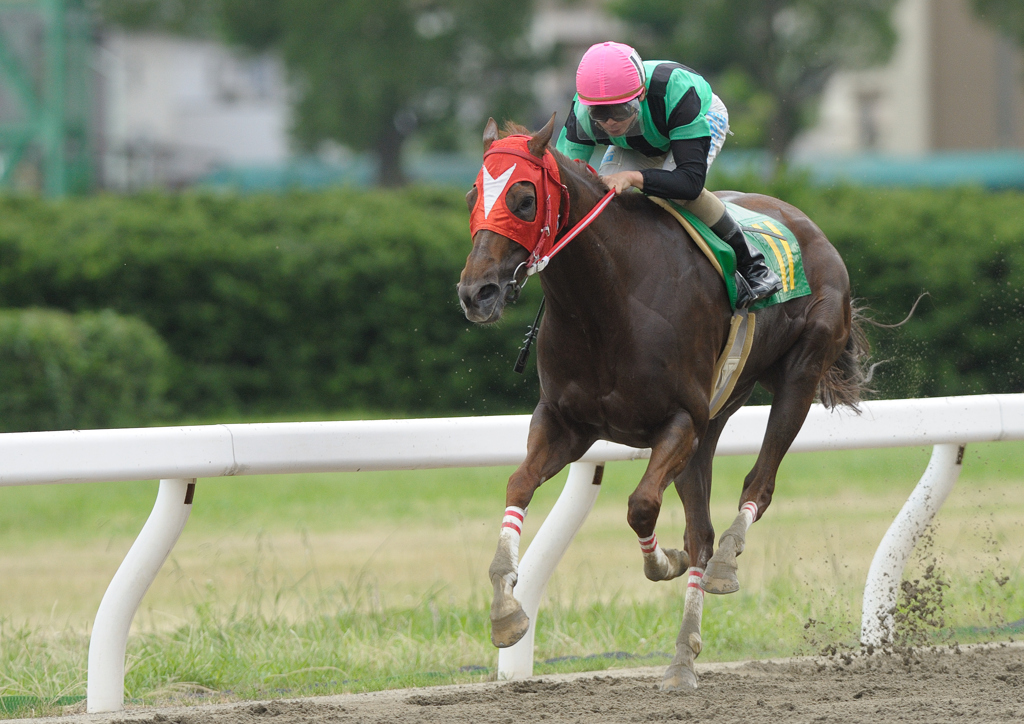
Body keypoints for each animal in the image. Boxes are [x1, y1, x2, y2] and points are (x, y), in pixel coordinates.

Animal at [457, 114, 869, 690]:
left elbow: (641, 506)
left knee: (756, 487)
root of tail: (807, 224)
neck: (608, 299)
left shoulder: (679, 421)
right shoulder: (566, 423)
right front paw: (505, 611)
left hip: (800, 374)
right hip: (719, 412)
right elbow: (519, 483)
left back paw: (724, 565)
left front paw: (663, 562)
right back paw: (681, 659)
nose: (477, 293)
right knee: (702, 529)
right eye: (474, 194)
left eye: (522, 198)